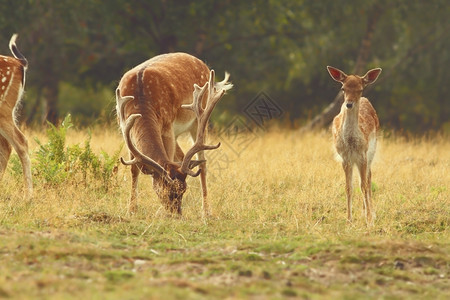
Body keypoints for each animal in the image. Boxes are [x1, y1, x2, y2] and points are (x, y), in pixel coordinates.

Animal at [116, 52, 232, 216]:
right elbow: (134, 169)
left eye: (183, 190)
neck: (141, 99)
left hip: (198, 121)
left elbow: (168, 159)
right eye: (163, 192)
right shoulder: (124, 127)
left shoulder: (167, 125)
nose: (177, 214)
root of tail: (202, 63)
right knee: (183, 156)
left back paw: (206, 210)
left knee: (203, 163)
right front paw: (131, 210)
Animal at [326, 66, 384, 225]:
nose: (349, 104)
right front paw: (349, 219)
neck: (351, 142)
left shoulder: (362, 155)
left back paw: (371, 213)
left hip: (371, 152)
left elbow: (364, 186)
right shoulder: (345, 158)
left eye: (360, 89)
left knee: (368, 180)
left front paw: (369, 220)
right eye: (343, 88)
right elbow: (348, 187)